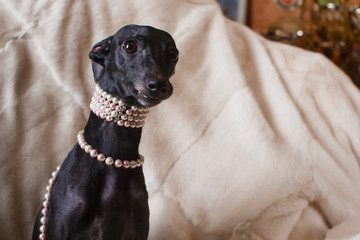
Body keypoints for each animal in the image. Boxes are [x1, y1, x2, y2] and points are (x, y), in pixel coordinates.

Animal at [32, 24, 179, 240]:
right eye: (129, 46)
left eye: (173, 54)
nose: (159, 86)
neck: (114, 155)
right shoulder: (62, 229)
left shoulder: (137, 228)